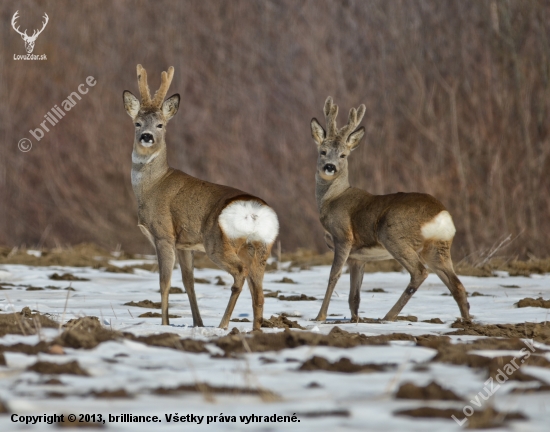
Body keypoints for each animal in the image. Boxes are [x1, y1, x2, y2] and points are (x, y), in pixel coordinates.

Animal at [125, 66, 280, 330]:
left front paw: (164, 324)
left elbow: (164, 283)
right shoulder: (185, 243)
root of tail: (253, 212)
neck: (152, 185)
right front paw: (197, 323)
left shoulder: (164, 234)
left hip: (217, 243)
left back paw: (223, 324)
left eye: (160, 124)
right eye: (137, 122)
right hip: (261, 248)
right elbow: (189, 283)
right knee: (259, 293)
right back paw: (254, 330)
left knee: (240, 273)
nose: (146, 136)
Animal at [312, 96, 472, 322]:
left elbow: (333, 275)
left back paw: (388, 316)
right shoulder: (358, 257)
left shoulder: (343, 237)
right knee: (456, 284)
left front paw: (320, 317)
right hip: (438, 247)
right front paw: (355, 320)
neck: (333, 199)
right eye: (323, 152)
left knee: (420, 272)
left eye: (343, 155)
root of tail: (441, 215)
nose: (330, 167)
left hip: (394, 235)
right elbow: (355, 295)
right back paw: (466, 322)